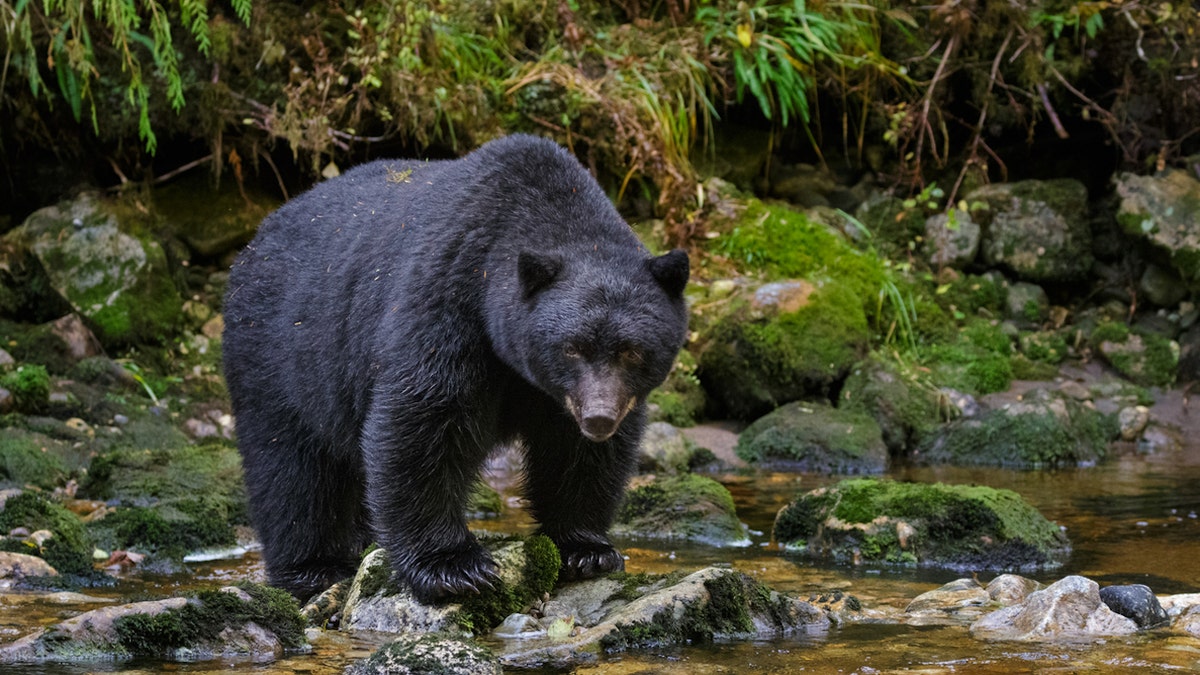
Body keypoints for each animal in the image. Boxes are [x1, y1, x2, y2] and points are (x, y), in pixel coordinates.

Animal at [222, 133, 691, 600]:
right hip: (280, 352)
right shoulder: (449, 299)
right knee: (291, 466)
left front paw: (586, 548)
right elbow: (424, 421)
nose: (599, 418)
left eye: (631, 350)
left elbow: (576, 452)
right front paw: (452, 565)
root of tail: (255, 239)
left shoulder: (564, 395)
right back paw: (314, 566)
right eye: (571, 347)